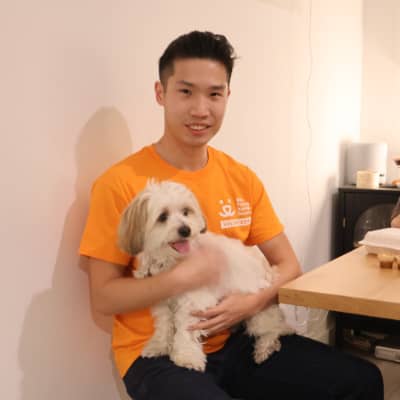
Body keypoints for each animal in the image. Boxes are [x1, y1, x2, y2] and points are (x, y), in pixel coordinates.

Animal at [118, 180, 294, 371]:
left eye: (186, 211)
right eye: (162, 216)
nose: (186, 230)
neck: (173, 263)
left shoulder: (194, 302)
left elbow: (186, 329)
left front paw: (187, 357)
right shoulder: (161, 300)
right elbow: (164, 325)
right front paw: (158, 346)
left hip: (258, 315)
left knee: (274, 330)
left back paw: (265, 348)